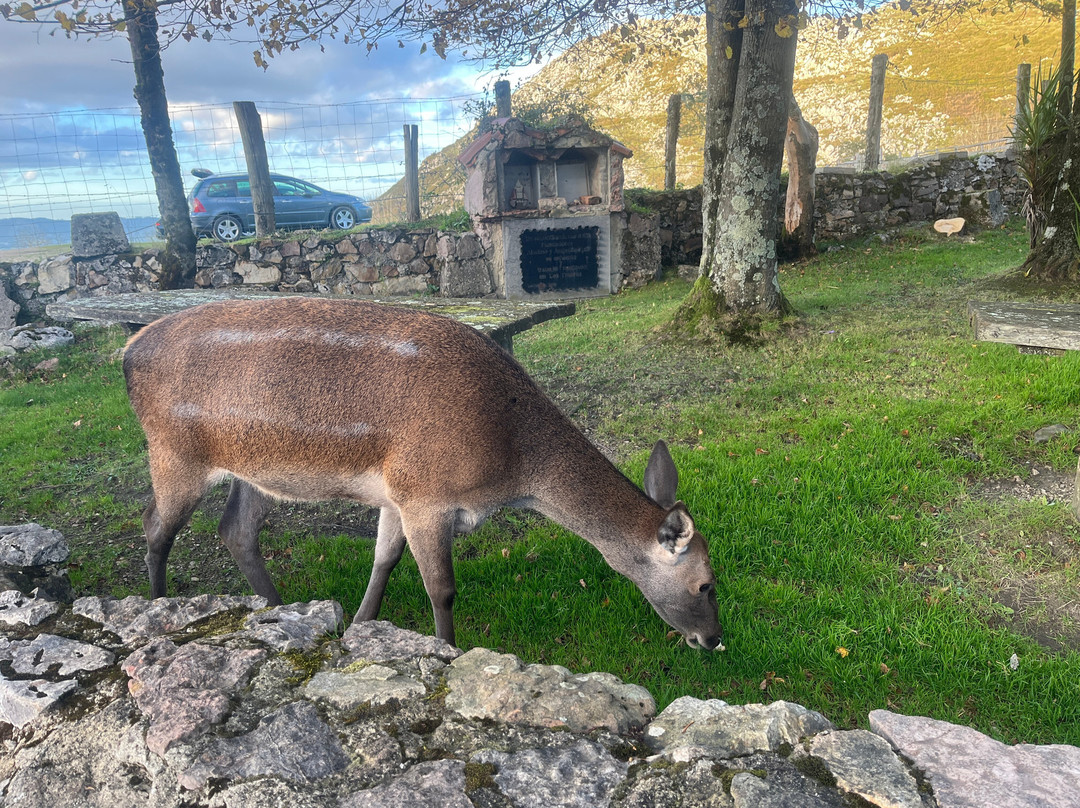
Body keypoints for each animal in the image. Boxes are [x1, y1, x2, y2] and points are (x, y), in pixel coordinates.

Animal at [122, 297, 724, 651]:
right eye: (705, 584)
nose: (715, 640)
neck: (509, 463)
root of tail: (125, 353)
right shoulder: (426, 494)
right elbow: (443, 589)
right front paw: (446, 651)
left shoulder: (398, 493)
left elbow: (383, 560)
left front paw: (357, 626)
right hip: (174, 452)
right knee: (154, 524)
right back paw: (156, 606)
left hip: (254, 467)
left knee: (236, 530)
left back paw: (278, 608)